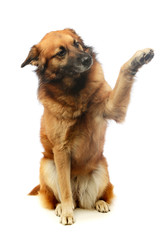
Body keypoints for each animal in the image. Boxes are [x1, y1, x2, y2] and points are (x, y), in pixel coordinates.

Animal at [20, 28, 154, 225]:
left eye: (76, 43)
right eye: (61, 52)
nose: (87, 59)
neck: (75, 91)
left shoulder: (112, 108)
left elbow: (123, 72)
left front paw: (139, 57)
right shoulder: (60, 150)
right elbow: (65, 189)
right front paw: (67, 212)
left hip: (102, 170)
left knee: (100, 196)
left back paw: (101, 203)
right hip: (47, 165)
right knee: (59, 196)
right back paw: (61, 207)